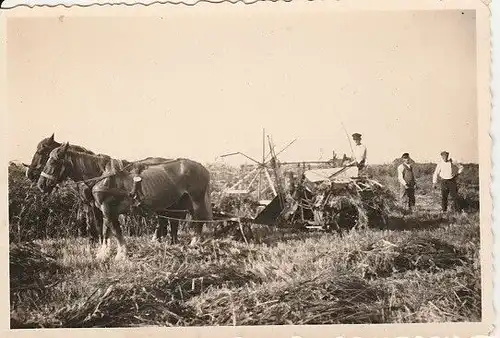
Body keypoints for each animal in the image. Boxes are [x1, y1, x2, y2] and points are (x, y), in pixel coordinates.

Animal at [37, 142, 213, 258]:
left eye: (53, 160)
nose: (40, 184)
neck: (103, 175)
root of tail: (203, 168)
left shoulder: (108, 209)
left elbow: (115, 232)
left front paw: (120, 255)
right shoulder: (103, 210)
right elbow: (106, 232)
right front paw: (103, 253)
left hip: (196, 200)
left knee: (198, 220)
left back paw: (194, 243)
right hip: (180, 203)